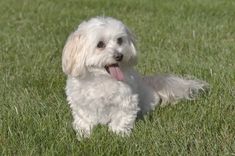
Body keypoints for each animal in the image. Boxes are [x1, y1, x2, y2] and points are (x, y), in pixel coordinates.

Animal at [61, 16, 207, 138]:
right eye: (100, 44)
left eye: (119, 40)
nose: (119, 56)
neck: (102, 79)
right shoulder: (81, 104)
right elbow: (84, 119)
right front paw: (83, 134)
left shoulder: (127, 101)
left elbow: (121, 119)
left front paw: (118, 135)